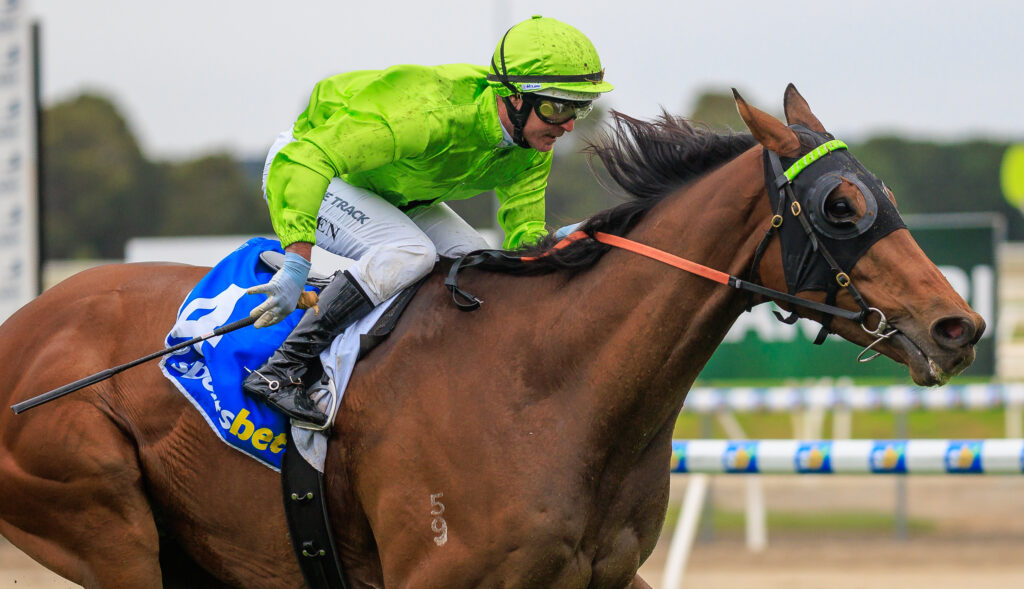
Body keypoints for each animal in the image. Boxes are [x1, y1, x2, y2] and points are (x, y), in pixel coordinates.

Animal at [0, 85, 983, 588]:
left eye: (885, 192)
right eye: (842, 206)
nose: (960, 323)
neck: (553, 387)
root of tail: (25, 329)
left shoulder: (600, 578)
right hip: (100, 519)